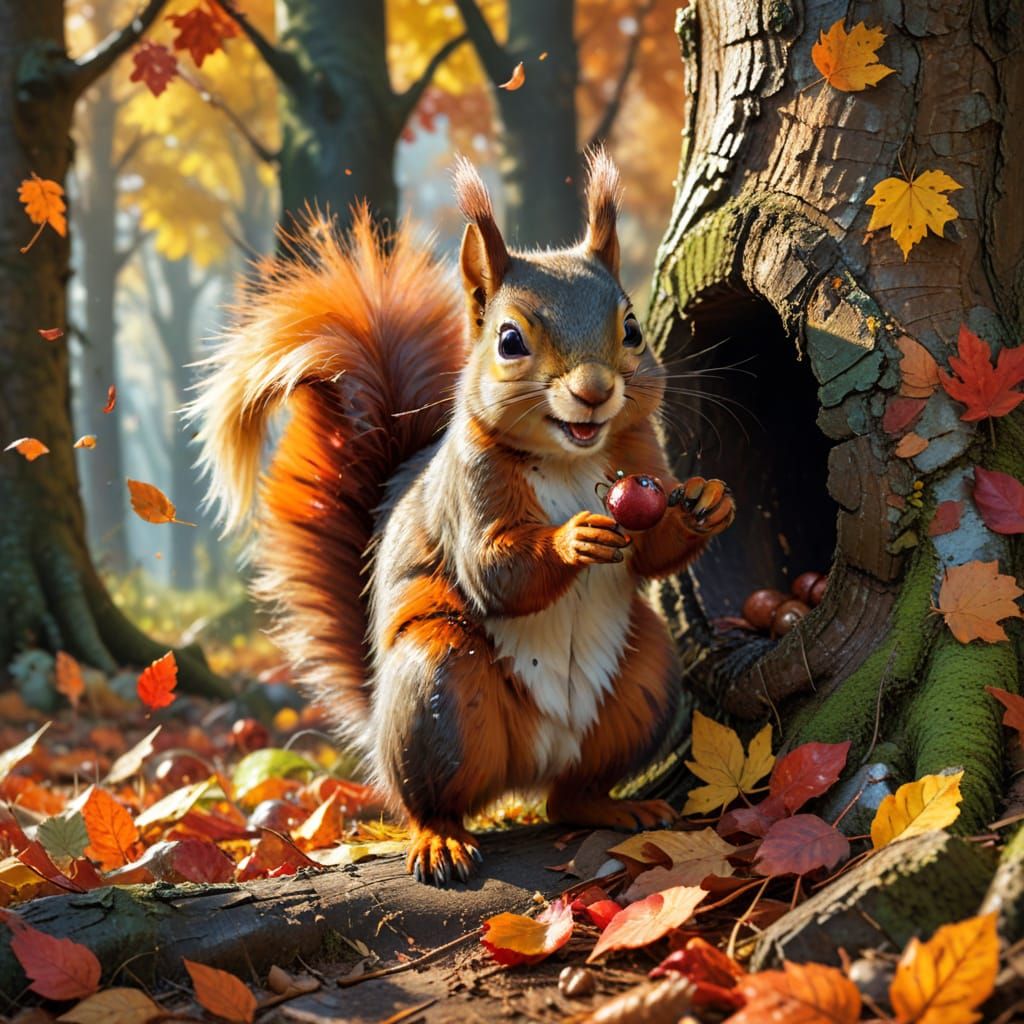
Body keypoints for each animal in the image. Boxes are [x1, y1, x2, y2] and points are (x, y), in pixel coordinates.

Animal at [194, 150, 735, 885]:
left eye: (632, 329)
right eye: (509, 340)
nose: (595, 391)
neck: (569, 459)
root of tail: (533, 762)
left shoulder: (643, 459)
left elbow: (653, 552)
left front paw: (708, 502)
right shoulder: (468, 492)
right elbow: (492, 569)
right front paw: (573, 538)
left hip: (646, 679)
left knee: (571, 795)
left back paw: (615, 805)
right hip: (439, 690)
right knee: (431, 799)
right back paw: (441, 840)